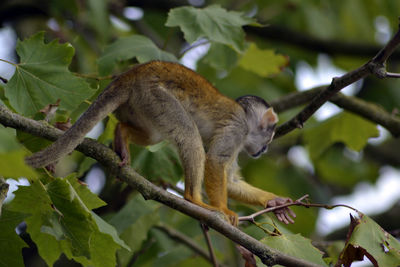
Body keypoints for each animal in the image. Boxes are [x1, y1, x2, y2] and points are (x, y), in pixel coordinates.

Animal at [24, 60, 294, 226]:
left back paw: (122, 134)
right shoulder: (237, 129)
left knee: (155, 136)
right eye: (269, 137)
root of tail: (132, 74)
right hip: (155, 96)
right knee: (189, 134)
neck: (246, 120)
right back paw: (193, 199)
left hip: (141, 104)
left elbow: (231, 180)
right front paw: (224, 210)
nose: (265, 149)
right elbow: (215, 162)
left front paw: (274, 202)